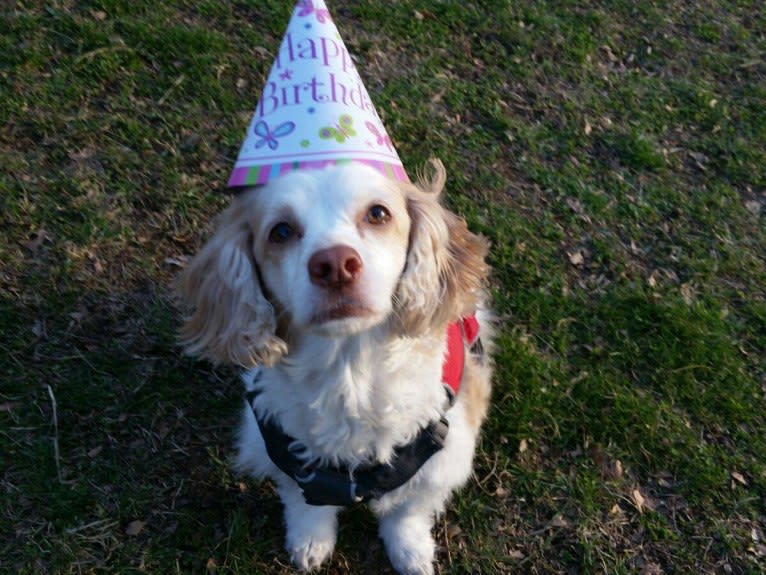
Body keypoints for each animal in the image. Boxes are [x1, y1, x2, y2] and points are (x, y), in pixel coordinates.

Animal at [178, 159, 496, 575]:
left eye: (378, 213)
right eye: (281, 231)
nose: (334, 265)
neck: (348, 370)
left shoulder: (443, 452)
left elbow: (409, 508)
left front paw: (410, 552)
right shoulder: (281, 445)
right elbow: (304, 501)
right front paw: (310, 541)